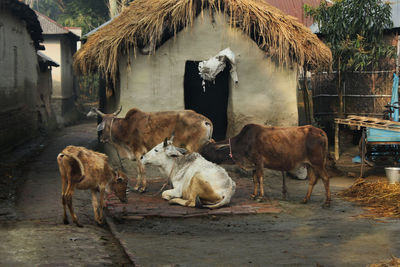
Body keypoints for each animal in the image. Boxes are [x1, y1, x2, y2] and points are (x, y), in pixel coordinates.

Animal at [200, 123, 332, 207]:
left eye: (206, 150)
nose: (200, 156)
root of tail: (320, 132)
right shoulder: (253, 164)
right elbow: (254, 179)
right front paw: (254, 194)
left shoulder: (259, 161)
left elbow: (260, 178)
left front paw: (260, 196)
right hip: (309, 164)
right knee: (312, 180)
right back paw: (305, 199)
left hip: (318, 163)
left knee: (326, 178)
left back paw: (327, 202)